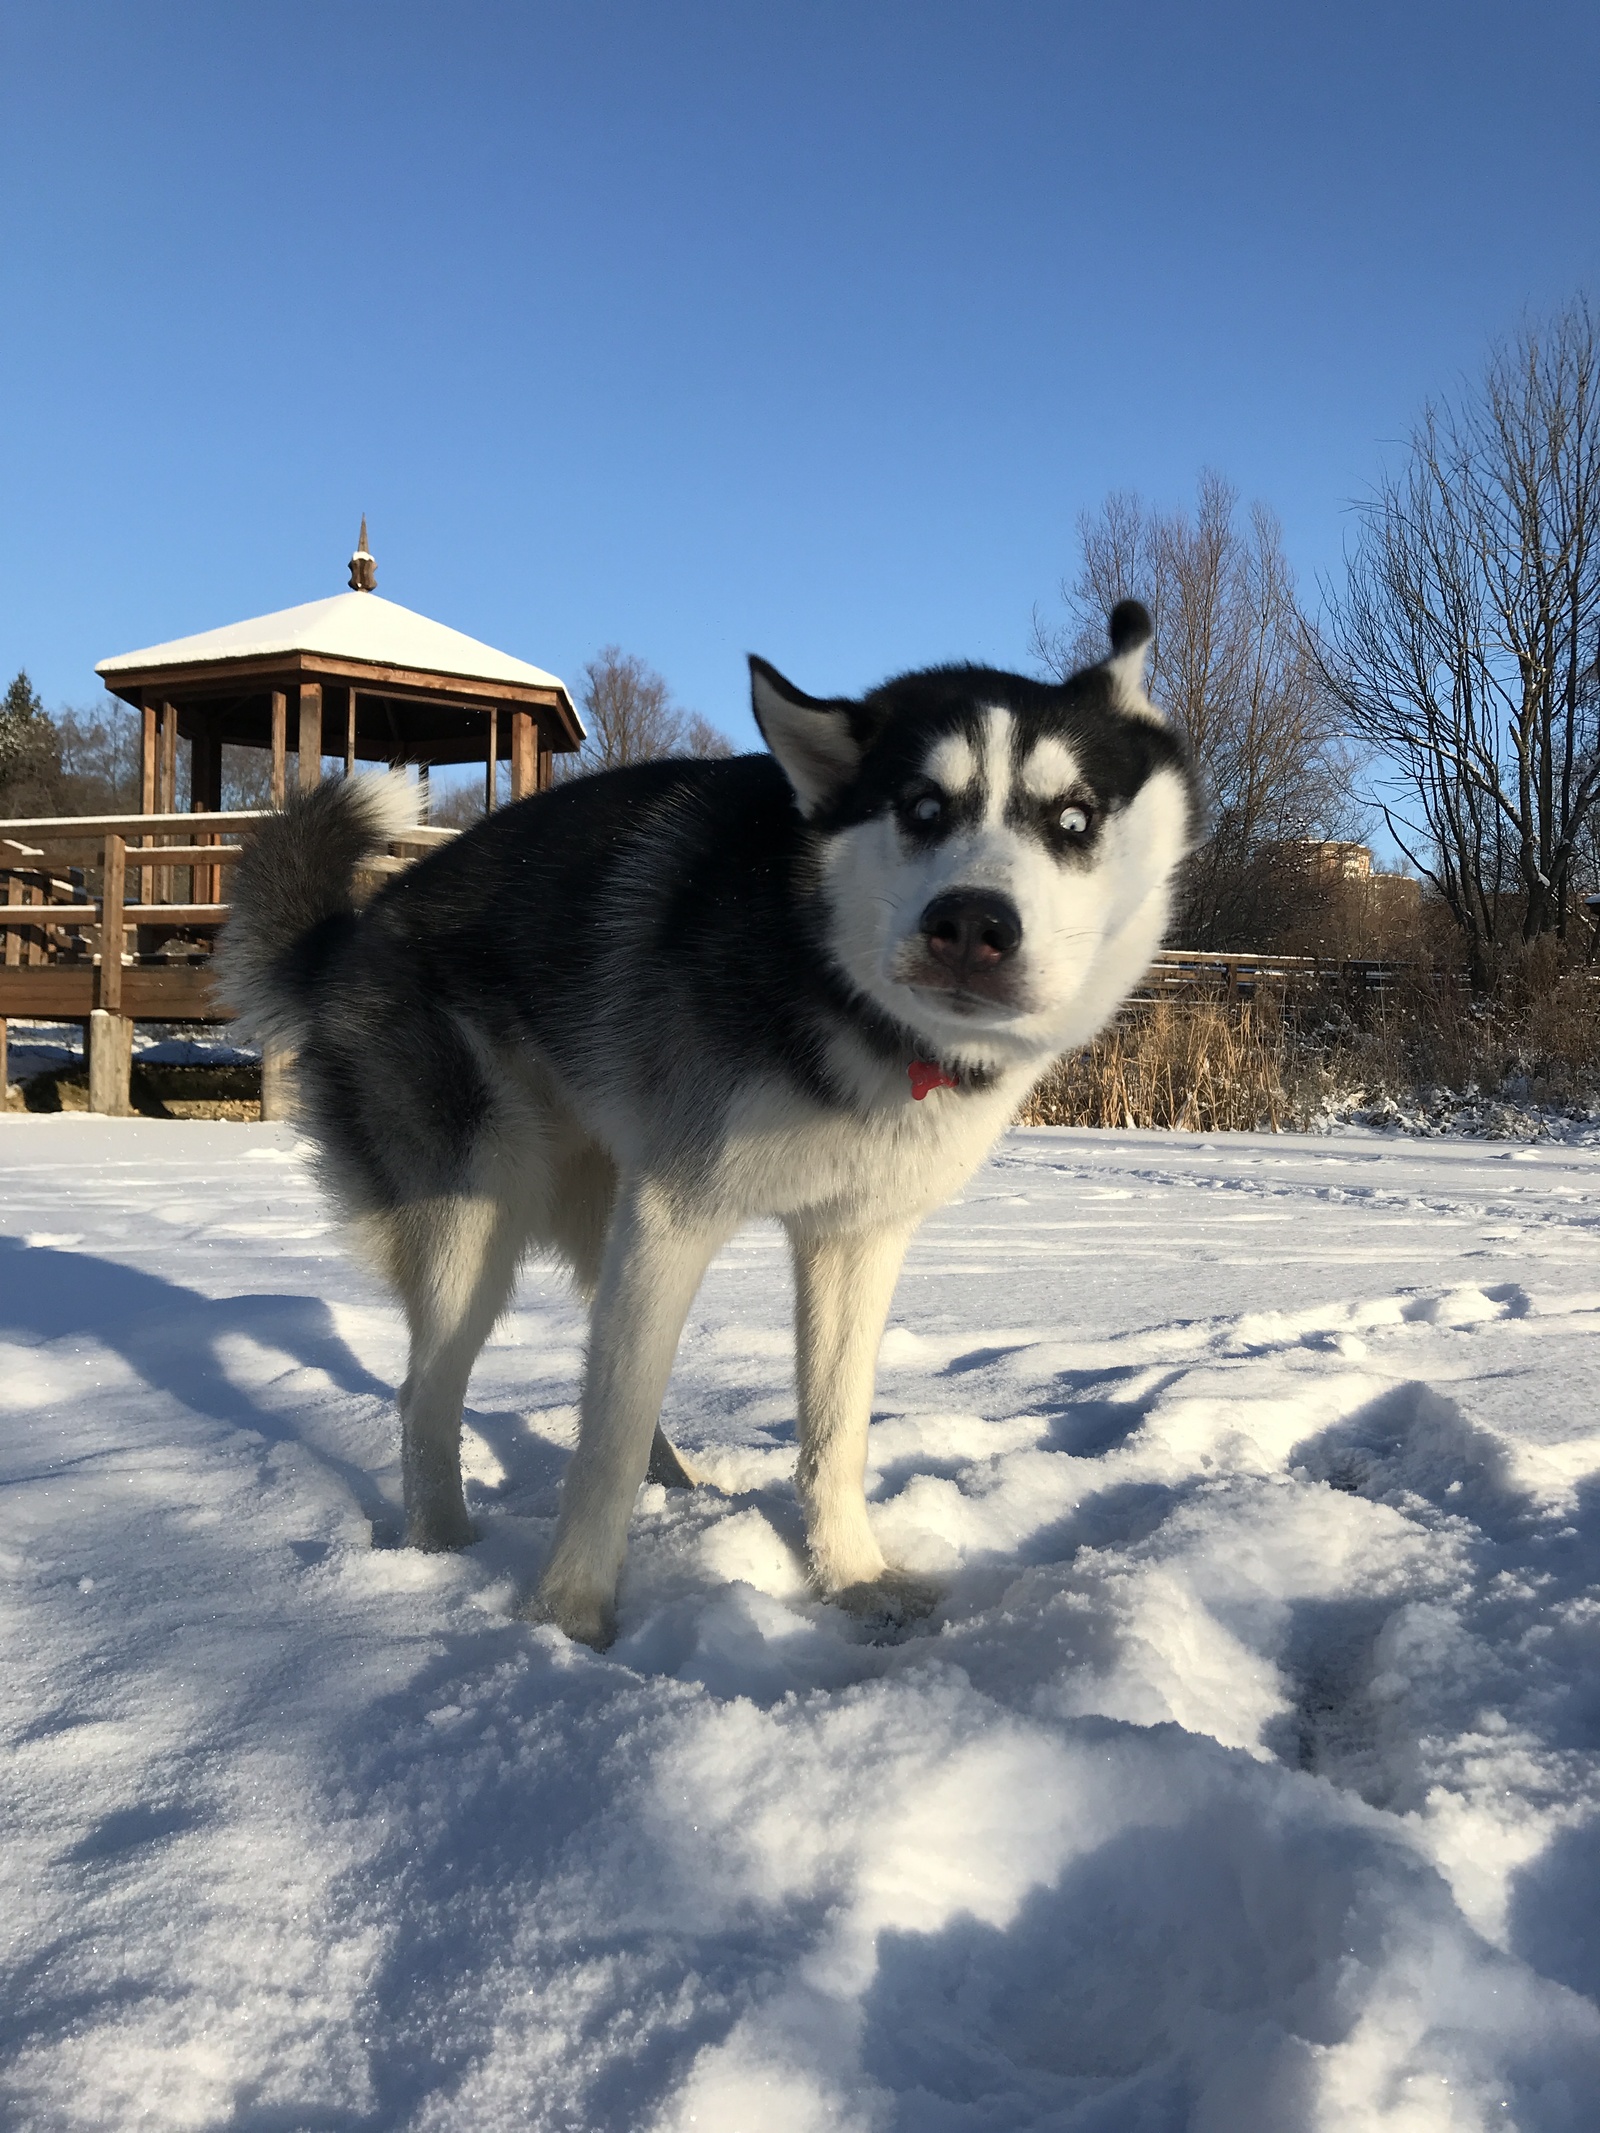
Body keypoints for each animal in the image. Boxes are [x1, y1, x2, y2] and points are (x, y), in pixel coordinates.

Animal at [231, 601, 1194, 1646]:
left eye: (1074, 819)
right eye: (922, 807)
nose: (972, 924)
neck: (840, 997)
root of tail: (350, 932)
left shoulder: (855, 1237)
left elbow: (831, 1431)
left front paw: (852, 1578)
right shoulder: (675, 1214)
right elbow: (601, 1446)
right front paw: (568, 1619)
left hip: (598, 1209)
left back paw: (680, 1487)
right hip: (473, 1218)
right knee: (430, 1396)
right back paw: (444, 1549)